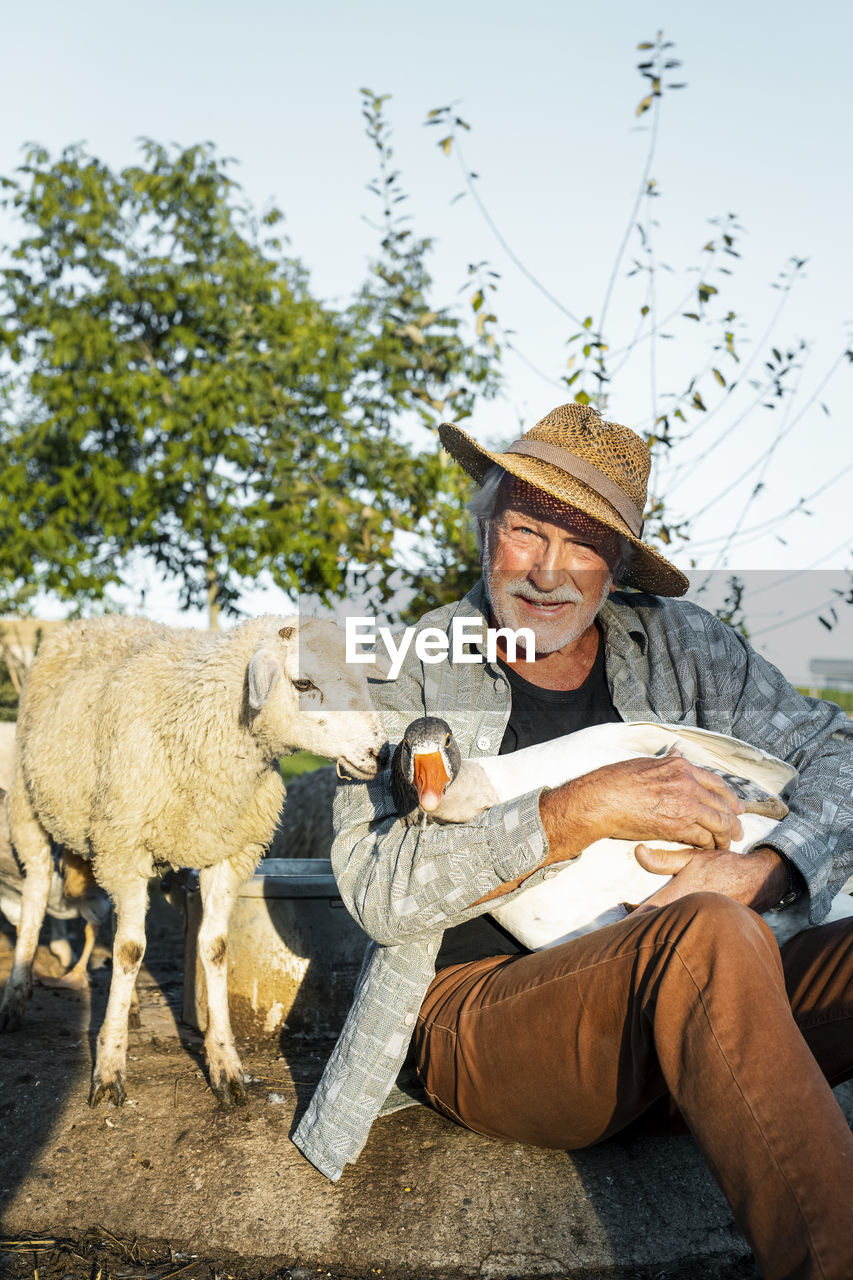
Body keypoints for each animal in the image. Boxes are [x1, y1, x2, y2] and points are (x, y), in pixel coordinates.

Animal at [0, 614, 384, 1105]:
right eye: (303, 682)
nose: (381, 753)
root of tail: (90, 623)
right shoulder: (125, 845)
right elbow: (130, 951)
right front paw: (109, 1067)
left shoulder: (228, 851)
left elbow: (214, 948)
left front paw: (225, 1065)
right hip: (29, 810)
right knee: (33, 903)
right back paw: (16, 996)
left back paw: (132, 1006)